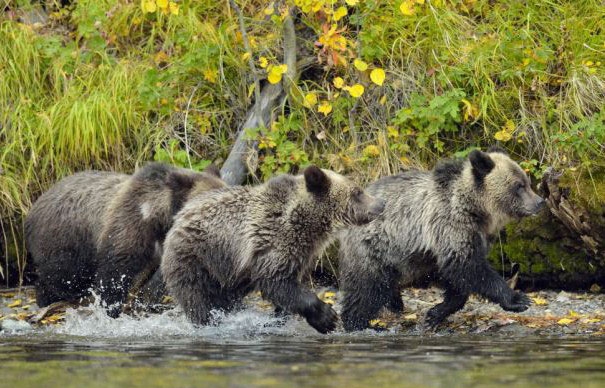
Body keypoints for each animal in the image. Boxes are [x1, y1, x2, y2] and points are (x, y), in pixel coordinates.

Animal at [24, 162, 225, 316]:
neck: (158, 218)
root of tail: (33, 208)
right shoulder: (129, 226)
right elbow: (115, 271)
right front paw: (110, 307)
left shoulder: (159, 248)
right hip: (68, 237)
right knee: (63, 272)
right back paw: (47, 297)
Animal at [162, 166, 382, 334]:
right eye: (357, 192)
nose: (380, 204)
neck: (306, 224)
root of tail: (180, 216)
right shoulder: (274, 243)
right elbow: (277, 282)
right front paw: (326, 317)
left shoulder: (301, 254)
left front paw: (281, 318)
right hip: (198, 258)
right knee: (198, 298)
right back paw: (208, 321)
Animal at [338, 148, 544, 330]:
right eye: (519, 185)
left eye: (527, 182)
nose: (539, 201)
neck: (476, 210)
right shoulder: (451, 225)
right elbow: (470, 268)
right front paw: (518, 299)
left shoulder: (469, 237)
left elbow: (459, 281)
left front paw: (435, 314)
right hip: (375, 244)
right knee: (367, 287)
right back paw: (358, 323)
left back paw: (395, 303)